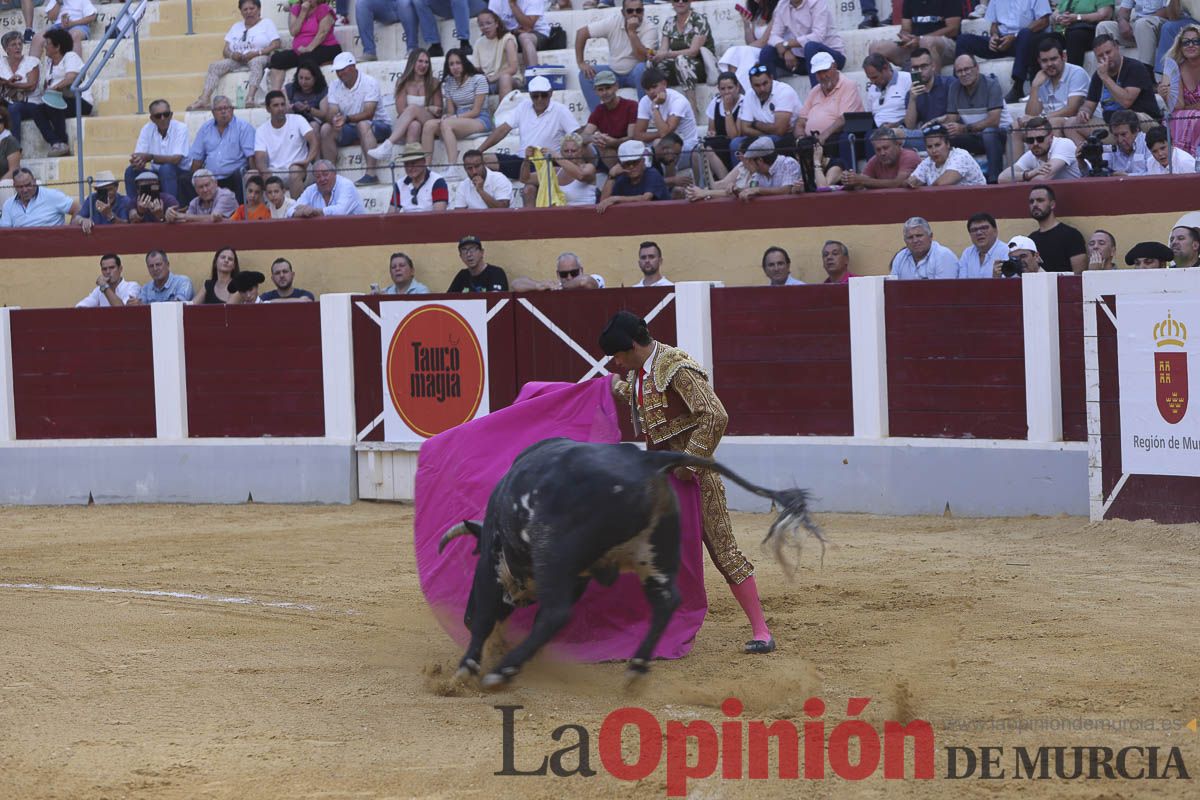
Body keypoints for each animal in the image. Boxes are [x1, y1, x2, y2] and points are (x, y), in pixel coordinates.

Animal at [441, 438, 825, 690]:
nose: (464, 616)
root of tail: (646, 462)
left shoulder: (495, 567)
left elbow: (487, 616)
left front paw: (467, 668)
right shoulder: (575, 577)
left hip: (554, 549)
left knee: (556, 613)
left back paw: (502, 671)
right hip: (653, 555)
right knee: (667, 601)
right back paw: (637, 666)